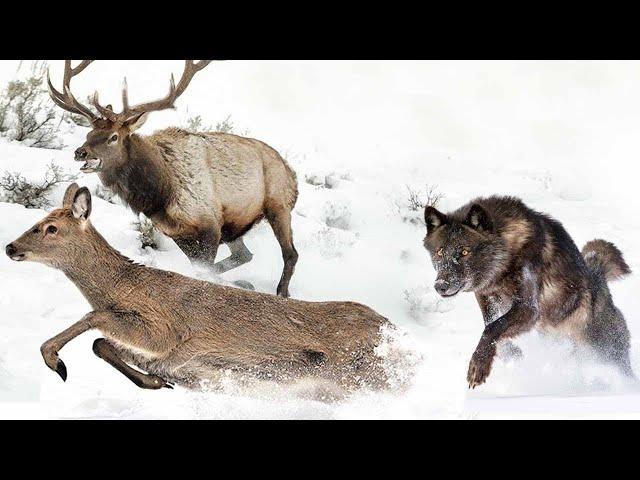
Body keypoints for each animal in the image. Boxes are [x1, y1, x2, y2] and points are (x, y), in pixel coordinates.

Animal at [5, 186, 392, 392]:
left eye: (51, 228)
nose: (10, 247)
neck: (127, 287)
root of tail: (391, 326)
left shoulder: (165, 330)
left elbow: (94, 317)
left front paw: (54, 360)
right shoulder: (159, 352)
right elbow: (101, 344)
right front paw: (156, 383)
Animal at [48, 60, 298, 296]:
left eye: (113, 137)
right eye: (89, 133)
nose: (80, 152)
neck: (159, 194)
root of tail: (291, 172)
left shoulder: (210, 224)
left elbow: (205, 269)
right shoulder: (177, 231)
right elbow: (202, 268)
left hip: (278, 205)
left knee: (290, 254)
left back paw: (281, 292)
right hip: (235, 227)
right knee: (245, 255)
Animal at [422, 195, 632, 386]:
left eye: (464, 252)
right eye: (440, 252)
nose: (440, 285)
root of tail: (599, 278)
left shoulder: (529, 308)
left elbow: (494, 327)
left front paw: (478, 366)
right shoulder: (485, 295)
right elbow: (490, 322)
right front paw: (511, 354)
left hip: (607, 354)